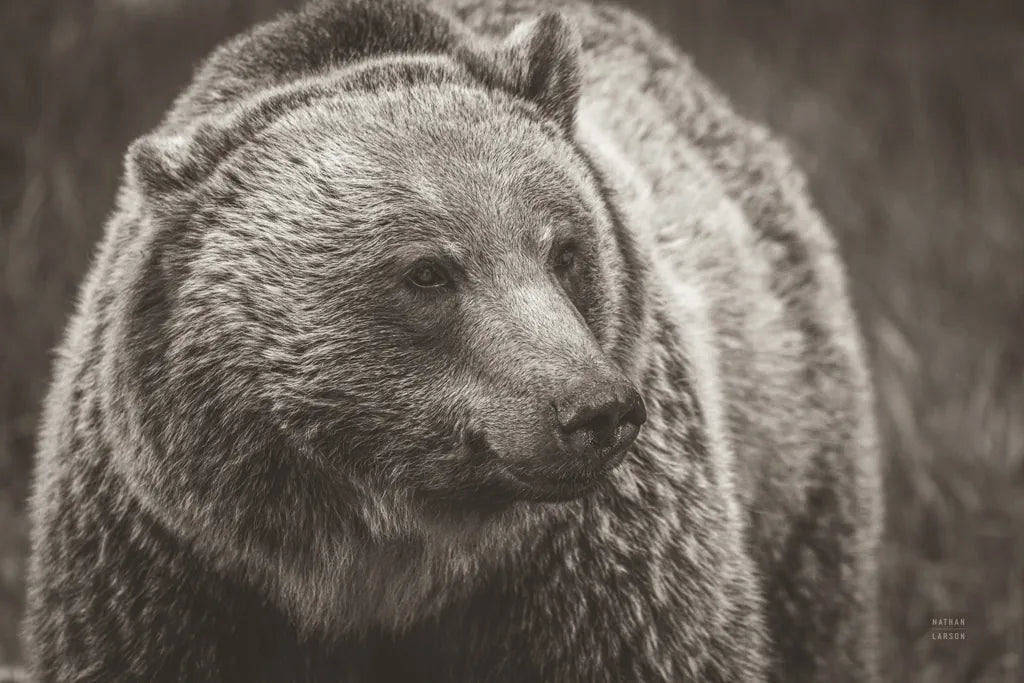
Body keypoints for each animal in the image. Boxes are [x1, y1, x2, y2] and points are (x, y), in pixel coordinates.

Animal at [23, 0, 882, 681]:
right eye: (429, 272)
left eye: (566, 250)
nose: (595, 410)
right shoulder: (171, 564)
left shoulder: (596, 561)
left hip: (795, 430)